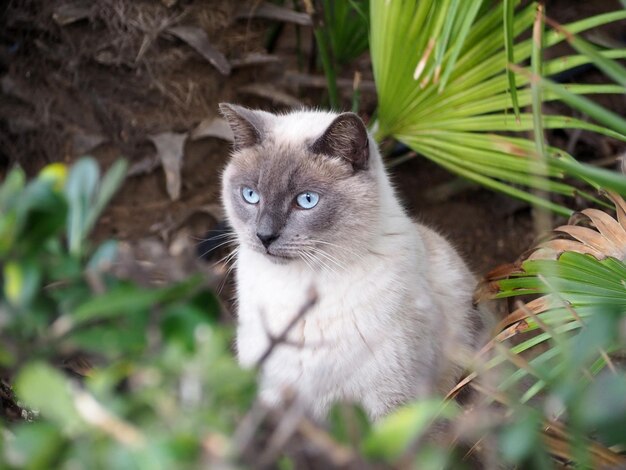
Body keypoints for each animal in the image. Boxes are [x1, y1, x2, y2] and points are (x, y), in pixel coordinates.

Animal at [219, 103, 482, 418]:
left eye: (306, 200)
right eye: (250, 195)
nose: (264, 236)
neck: (301, 290)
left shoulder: (389, 404)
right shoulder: (272, 399)